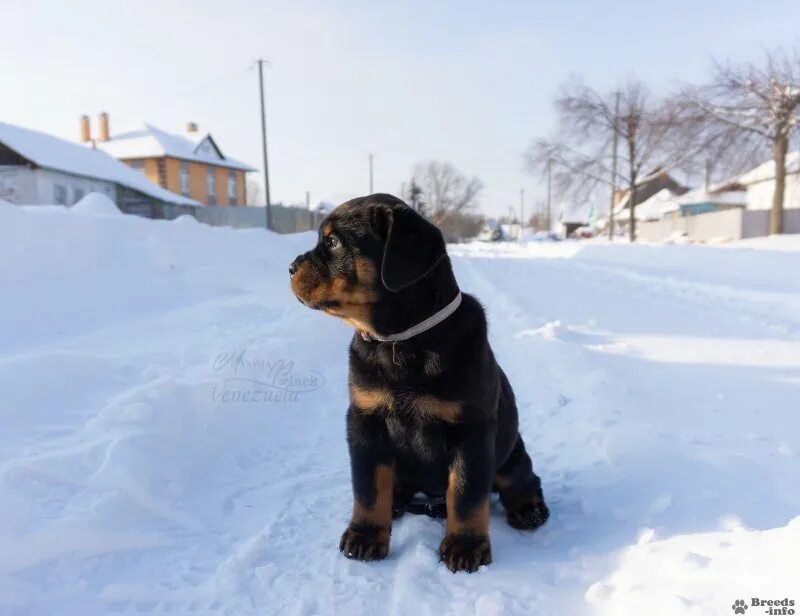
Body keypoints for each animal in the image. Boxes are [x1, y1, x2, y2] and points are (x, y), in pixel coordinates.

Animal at [290, 194, 548, 572]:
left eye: (334, 242)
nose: (290, 267)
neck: (401, 342)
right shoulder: (365, 420)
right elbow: (369, 487)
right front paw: (365, 535)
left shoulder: (471, 430)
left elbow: (467, 493)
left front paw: (465, 545)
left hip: (510, 449)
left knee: (520, 477)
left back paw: (528, 507)